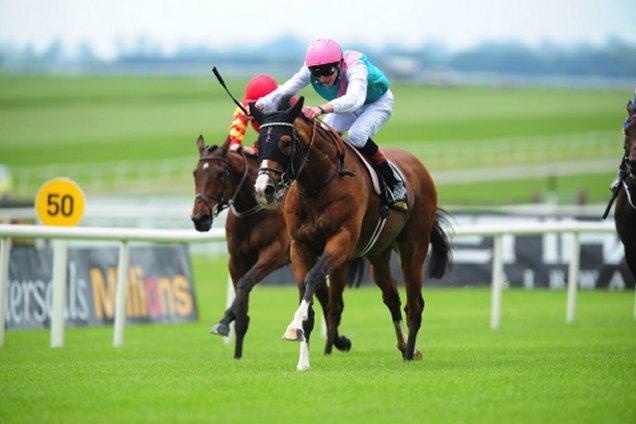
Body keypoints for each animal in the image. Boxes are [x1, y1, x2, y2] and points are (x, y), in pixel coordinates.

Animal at [190, 135, 358, 358]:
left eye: (220, 174)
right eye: (196, 173)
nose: (199, 218)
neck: (254, 212)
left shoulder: (274, 253)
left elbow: (246, 281)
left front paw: (223, 322)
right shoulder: (236, 260)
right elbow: (242, 303)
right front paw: (237, 354)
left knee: (334, 304)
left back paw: (332, 345)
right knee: (325, 296)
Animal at [250, 97, 452, 370]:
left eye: (285, 142)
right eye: (259, 142)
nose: (264, 190)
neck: (318, 185)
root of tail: (417, 164)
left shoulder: (342, 240)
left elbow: (314, 278)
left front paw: (293, 327)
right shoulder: (300, 246)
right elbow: (306, 293)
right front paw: (303, 361)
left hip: (414, 246)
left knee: (414, 305)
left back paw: (410, 353)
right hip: (378, 254)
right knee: (392, 297)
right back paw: (403, 347)